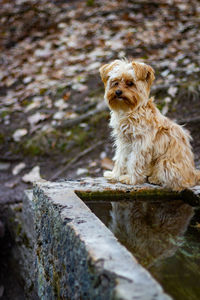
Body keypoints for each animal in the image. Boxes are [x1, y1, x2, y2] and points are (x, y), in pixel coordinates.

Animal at [99, 59, 200, 191]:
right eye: (115, 83)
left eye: (130, 83)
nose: (118, 92)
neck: (131, 111)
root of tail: (193, 174)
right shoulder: (123, 142)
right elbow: (120, 159)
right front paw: (115, 175)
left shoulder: (141, 143)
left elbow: (134, 162)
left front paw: (131, 179)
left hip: (165, 162)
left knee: (178, 184)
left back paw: (156, 179)